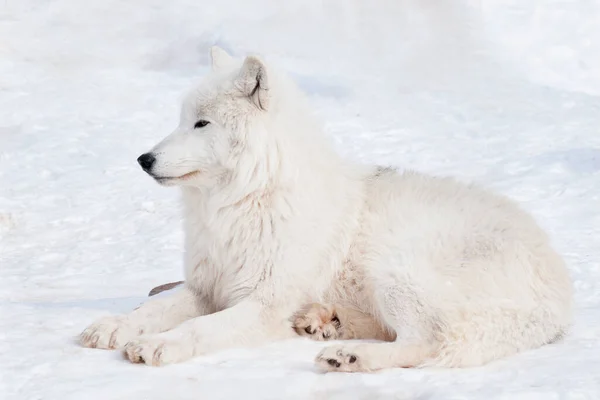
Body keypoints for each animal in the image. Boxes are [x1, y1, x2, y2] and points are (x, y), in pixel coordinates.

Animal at [79, 47, 572, 372]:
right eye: (181, 121)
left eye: (202, 124)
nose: (144, 159)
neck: (243, 202)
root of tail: (560, 296)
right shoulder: (206, 287)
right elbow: (152, 308)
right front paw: (113, 326)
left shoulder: (264, 302)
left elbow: (200, 328)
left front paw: (160, 345)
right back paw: (325, 325)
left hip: (392, 270)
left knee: (428, 342)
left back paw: (348, 355)